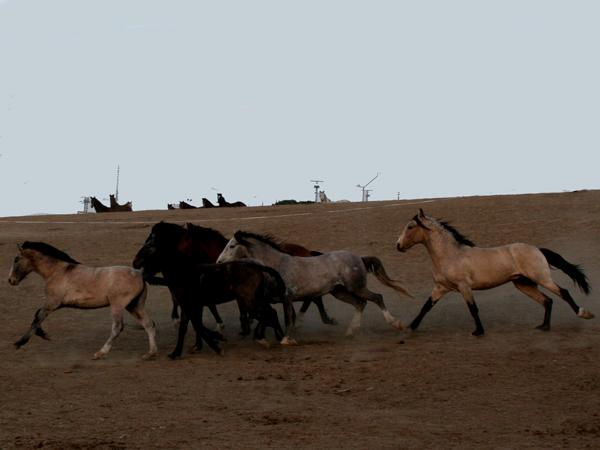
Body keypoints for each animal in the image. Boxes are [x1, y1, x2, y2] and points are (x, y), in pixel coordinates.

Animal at [8, 241, 157, 360]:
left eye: (16, 259)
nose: (10, 280)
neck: (57, 271)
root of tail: (139, 274)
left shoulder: (52, 303)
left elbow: (37, 318)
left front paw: (20, 342)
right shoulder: (57, 304)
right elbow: (36, 316)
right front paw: (43, 335)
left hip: (117, 305)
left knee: (117, 327)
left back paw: (100, 353)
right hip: (134, 306)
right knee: (148, 324)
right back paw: (150, 354)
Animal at [396, 209, 592, 336]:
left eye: (410, 227)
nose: (398, 245)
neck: (450, 255)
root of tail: (537, 249)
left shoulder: (464, 287)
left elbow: (473, 308)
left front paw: (478, 331)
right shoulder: (441, 287)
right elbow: (426, 306)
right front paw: (410, 327)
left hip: (541, 278)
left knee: (563, 293)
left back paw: (583, 314)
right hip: (523, 284)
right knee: (547, 300)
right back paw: (543, 327)